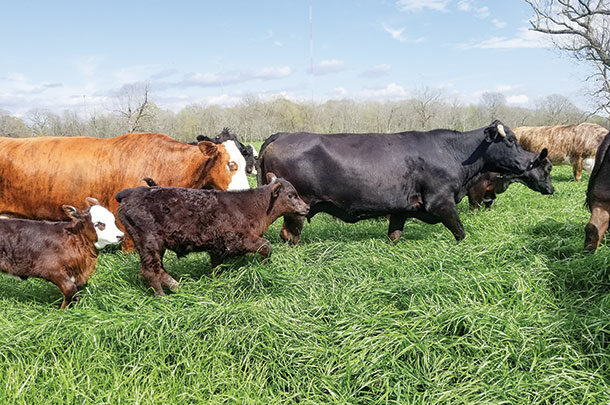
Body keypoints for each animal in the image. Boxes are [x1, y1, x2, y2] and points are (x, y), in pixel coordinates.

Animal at [114, 172, 308, 296]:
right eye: (291, 195)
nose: (307, 208)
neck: (253, 207)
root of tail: (130, 192)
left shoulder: (217, 248)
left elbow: (216, 268)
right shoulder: (238, 240)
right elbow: (266, 246)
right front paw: (266, 266)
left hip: (155, 246)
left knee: (158, 269)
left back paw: (177, 287)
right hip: (149, 243)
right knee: (150, 271)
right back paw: (163, 297)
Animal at [255, 118, 540, 241]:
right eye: (511, 141)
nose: (530, 162)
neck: (452, 153)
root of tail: (281, 134)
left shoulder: (401, 207)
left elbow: (394, 234)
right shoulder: (441, 201)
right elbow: (460, 231)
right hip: (296, 206)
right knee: (288, 234)